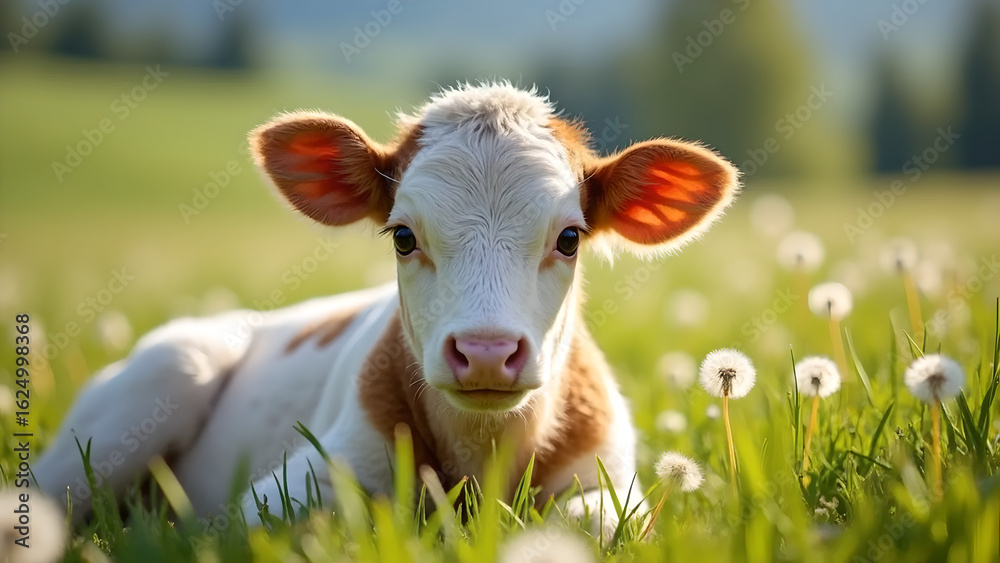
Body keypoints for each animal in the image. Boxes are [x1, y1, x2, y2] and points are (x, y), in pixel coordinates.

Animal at [35, 82, 739, 536]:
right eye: (403, 235)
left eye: (569, 238)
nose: (486, 352)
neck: (480, 451)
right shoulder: (291, 488)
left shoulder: (615, 486)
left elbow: (592, 527)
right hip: (152, 386)